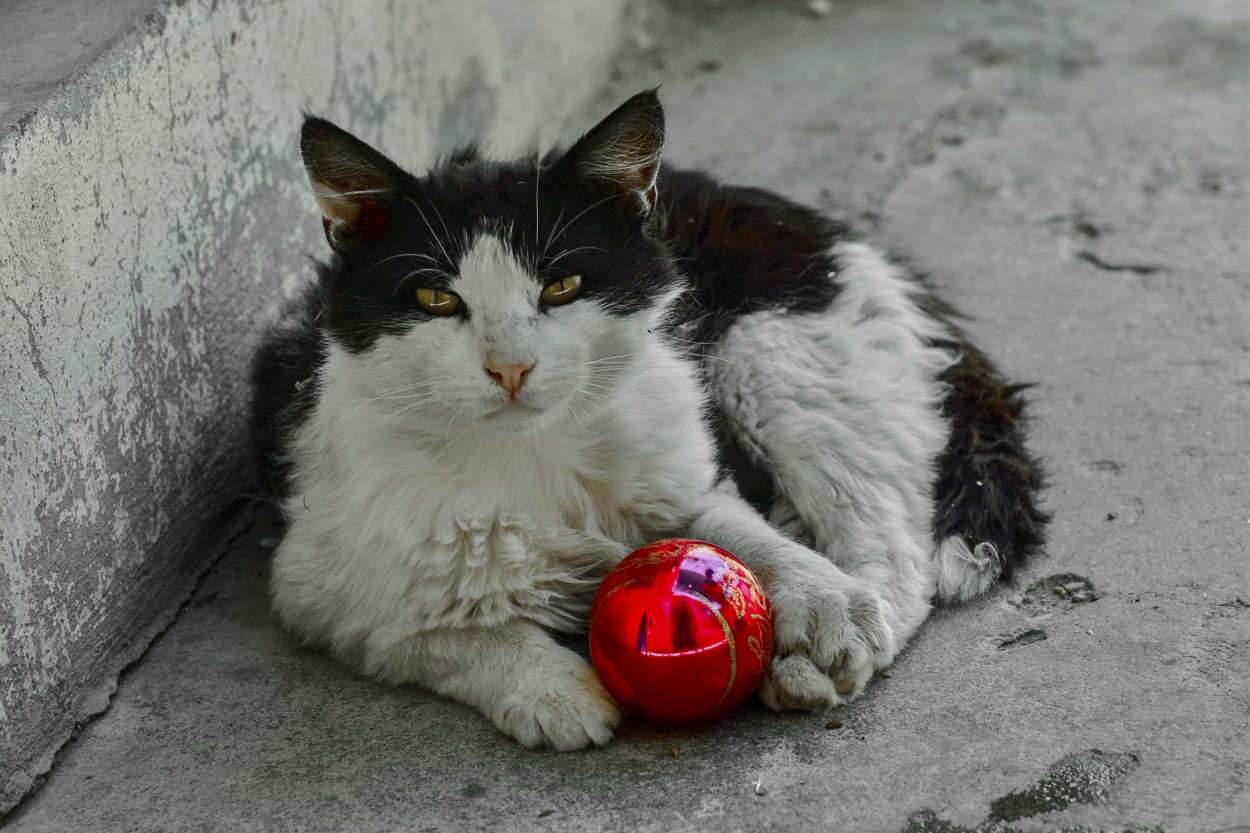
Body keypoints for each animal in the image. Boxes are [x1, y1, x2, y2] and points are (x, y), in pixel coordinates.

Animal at [251, 87, 1045, 750]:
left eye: (562, 286)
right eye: (436, 300)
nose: (510, 369)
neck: (533, 452)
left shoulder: (686, 471)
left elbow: (736, 531)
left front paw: (826, 600)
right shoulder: (325, 591)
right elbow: (446, 634)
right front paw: (551, 689)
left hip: (776, 354)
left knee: (894, 548)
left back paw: (830, 630)